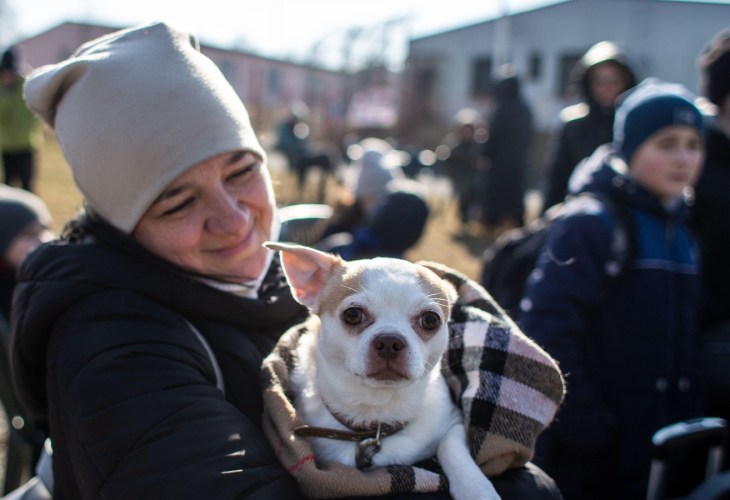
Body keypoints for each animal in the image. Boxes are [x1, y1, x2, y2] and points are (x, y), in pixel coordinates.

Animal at [264, 240, 498, 498]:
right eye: (353, 314)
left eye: (430, 320)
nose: (389, 341)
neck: (376, 413)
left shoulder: (453, 421)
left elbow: (451, 446)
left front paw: (475, 488)